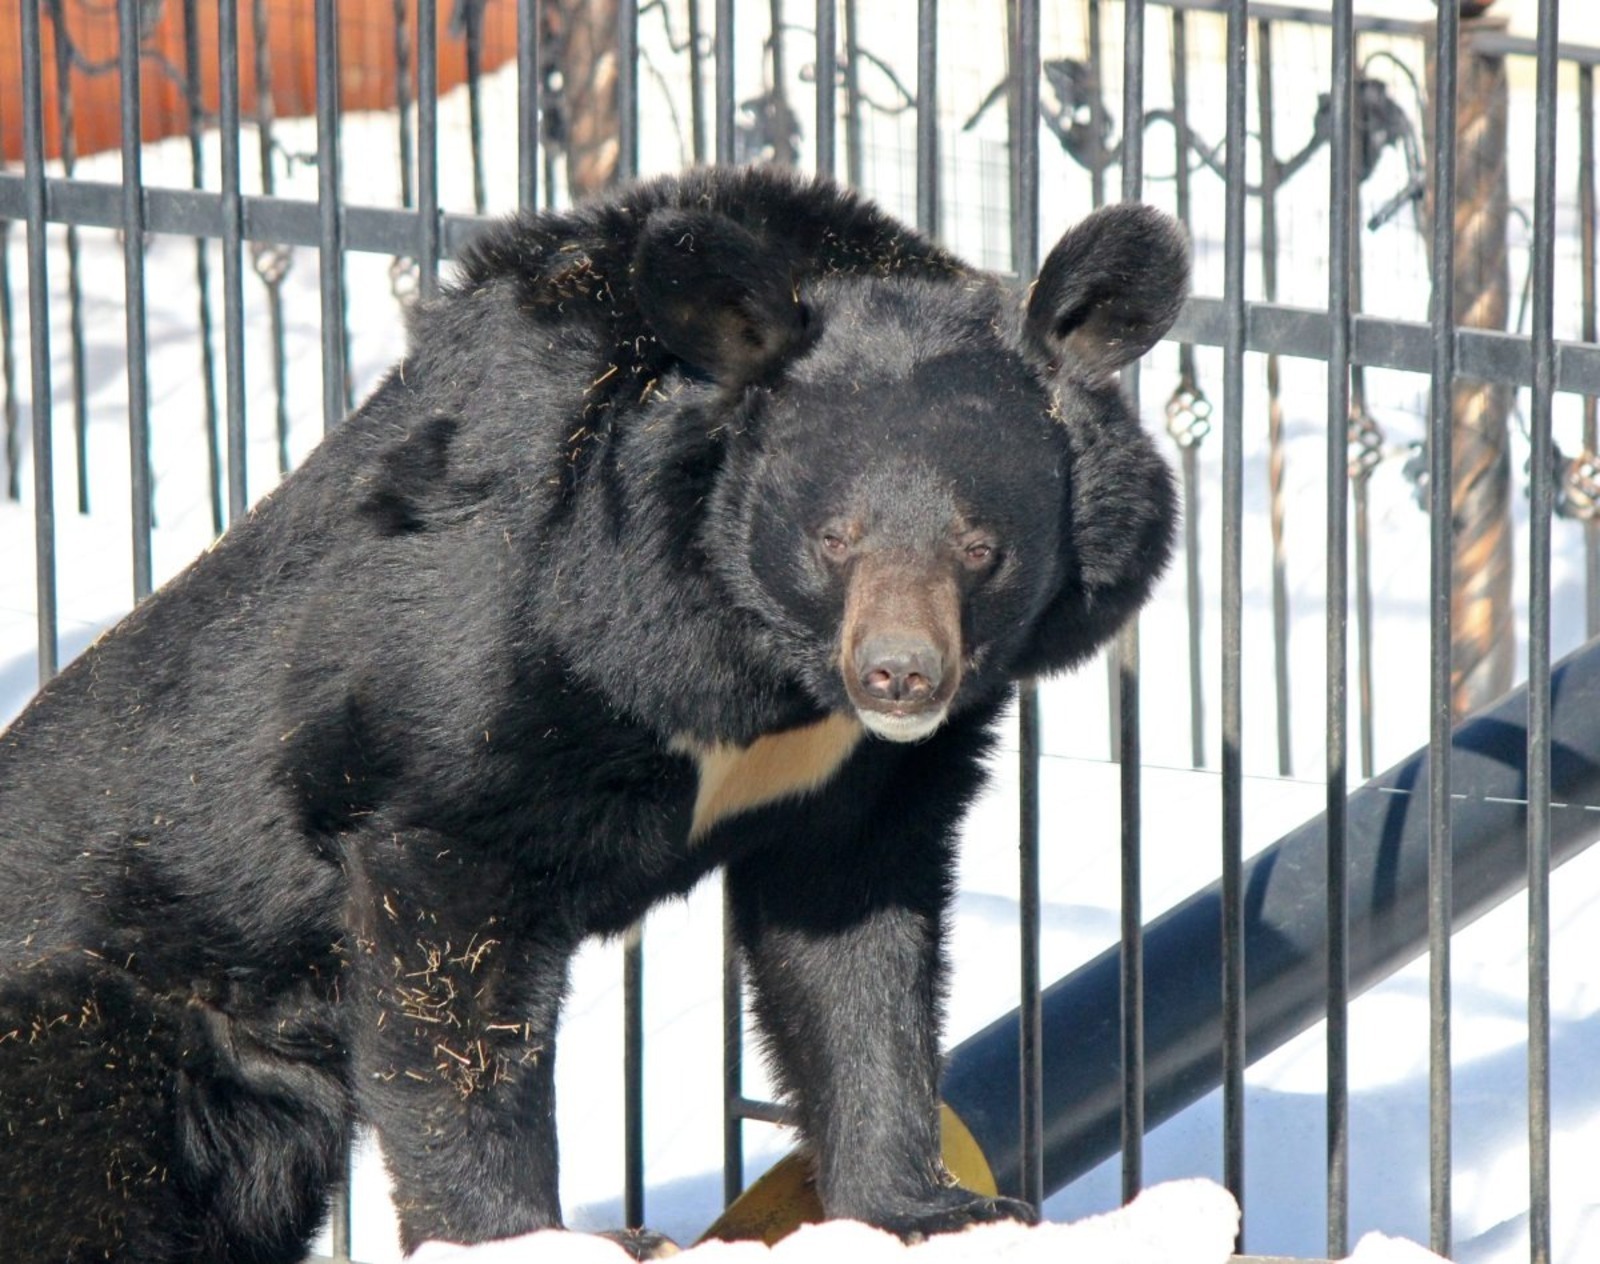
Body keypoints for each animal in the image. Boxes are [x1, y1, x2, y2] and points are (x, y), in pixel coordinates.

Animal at [0, 166, 1186, 1261]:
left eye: (982, 547)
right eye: (834, 539)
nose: (900, 677)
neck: (752, 661)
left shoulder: (853, 777)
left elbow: (856, 948)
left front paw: (934, 1207)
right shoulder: (490, 674)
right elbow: (449, 978)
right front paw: (531, 1233)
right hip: (109, 1025)